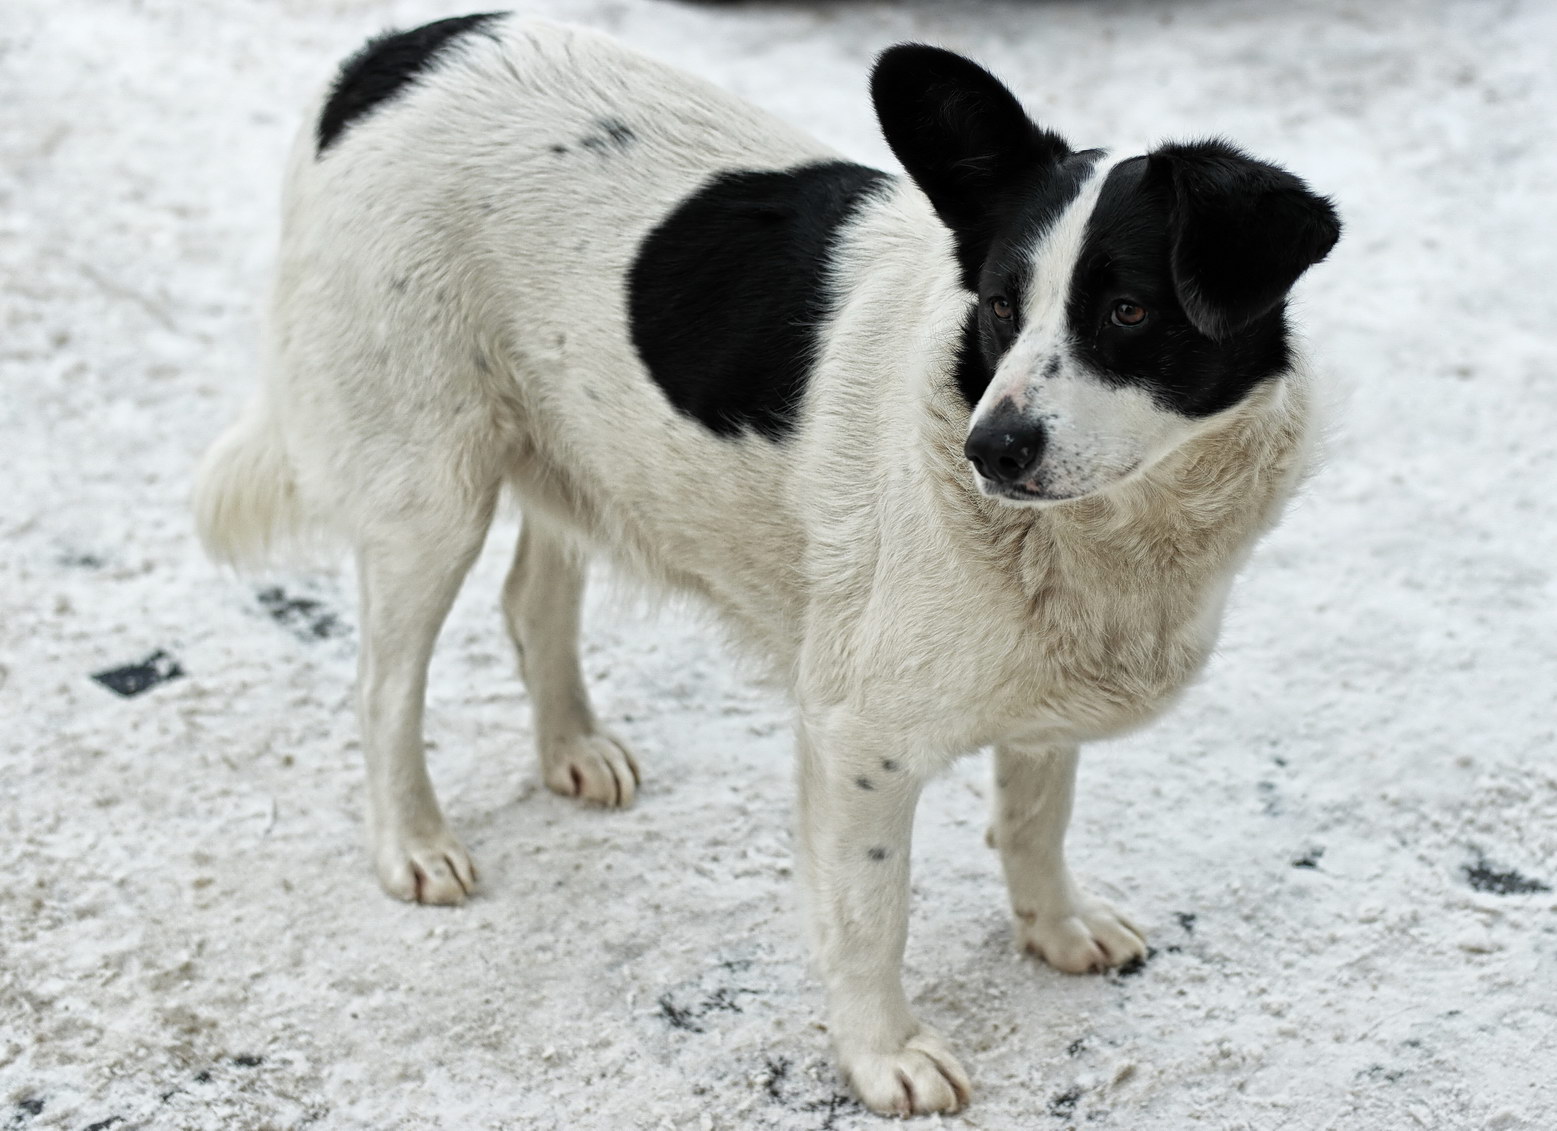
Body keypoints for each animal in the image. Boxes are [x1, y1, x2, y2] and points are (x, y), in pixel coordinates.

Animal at [194, 15, 1339, 1115]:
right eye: (999, 308)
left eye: (1128, 311)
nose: (991, 450)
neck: (1109, 536)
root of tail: (392, 52)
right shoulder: (857, 740)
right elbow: (871, 913)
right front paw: (884, 1055)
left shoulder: (1040, 693)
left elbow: (1034, 820)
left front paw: (1052, 926)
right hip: (426, 494)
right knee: (384, 685)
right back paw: (413, 842)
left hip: (579, 446)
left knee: (531, 600)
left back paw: (573, 747)